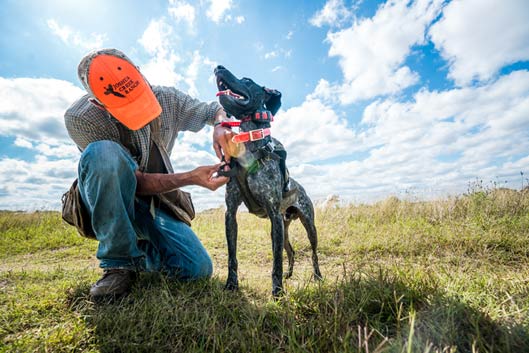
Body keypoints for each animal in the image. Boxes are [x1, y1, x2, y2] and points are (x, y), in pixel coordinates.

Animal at [212, 65, 320, 294]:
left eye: (247, 79)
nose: (218, 67)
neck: (249, 143)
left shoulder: (273, 214)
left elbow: (276, 260)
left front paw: (277, 292)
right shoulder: (231, 213)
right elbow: (232, 256)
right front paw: (231, 284)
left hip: (308, 225)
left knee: (313, 253)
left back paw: (317, 276)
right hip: (284, 228)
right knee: (291, 251)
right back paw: (289, 275)